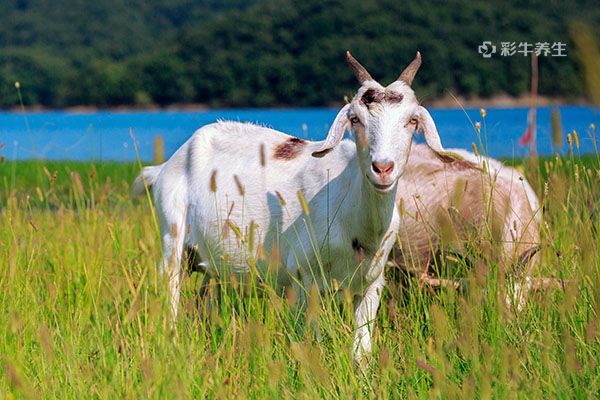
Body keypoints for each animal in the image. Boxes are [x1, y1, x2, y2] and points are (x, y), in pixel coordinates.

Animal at [135, 50, 454, 362]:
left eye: (412, 121)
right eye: (355, 119)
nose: (383, 168)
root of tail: (167, 165)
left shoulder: (371, 284)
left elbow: (361, 352)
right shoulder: (304, 279)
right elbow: (312, 342)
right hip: (172, 239)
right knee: (171, 297)